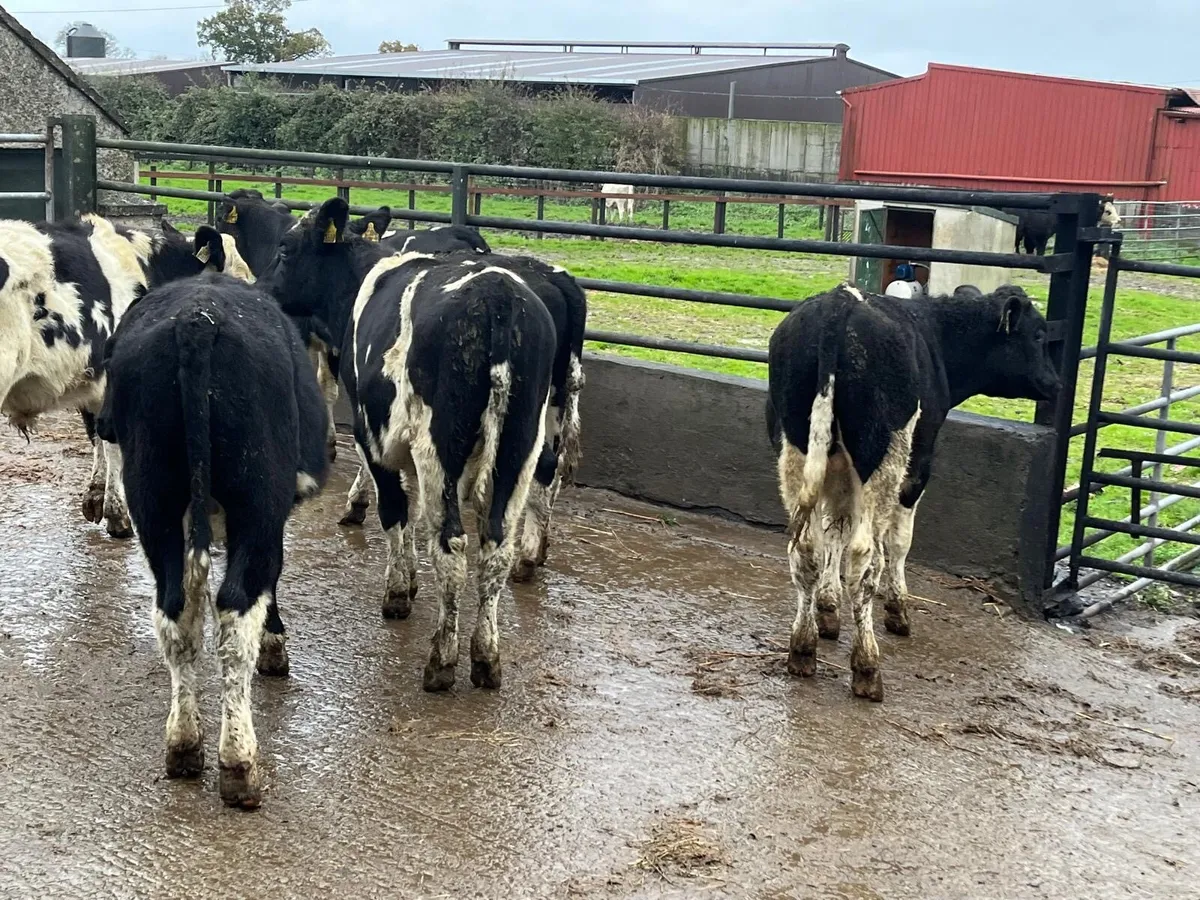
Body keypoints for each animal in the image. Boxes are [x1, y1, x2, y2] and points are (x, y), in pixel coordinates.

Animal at [96, 272, 329, 808]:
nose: (99, 422)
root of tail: (196, 321)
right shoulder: (270, 521)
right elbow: (270, 586)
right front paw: (275, 646)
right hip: (256, 502)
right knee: (235, 614)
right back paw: (239, 763)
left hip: (154, 501)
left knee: (176, 615)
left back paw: (184, 744)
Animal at [263, 197, 556, 691]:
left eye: (284, 249)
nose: (260, 290)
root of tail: (497, 297)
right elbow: (415, 512)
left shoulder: (373, 436)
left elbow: (395, 510)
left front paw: (399, 590)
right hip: (520, 449)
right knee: (495, 546)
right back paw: (486, 657)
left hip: (442, 448)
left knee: (453, 545)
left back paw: (442, 660)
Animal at [766, 282, 1059, 701]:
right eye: (1037, 335)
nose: (1055, 383)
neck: (933, 332)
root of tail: (840, 301)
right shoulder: (919, 463)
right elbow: (898, 542)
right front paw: (898, 610)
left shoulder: (838, 467)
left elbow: (834, 527)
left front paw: (828, 609)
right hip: (886, 454)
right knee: (864, 557)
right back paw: (867, 667)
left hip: (796, 446)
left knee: (805, 548)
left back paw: (803, 648)